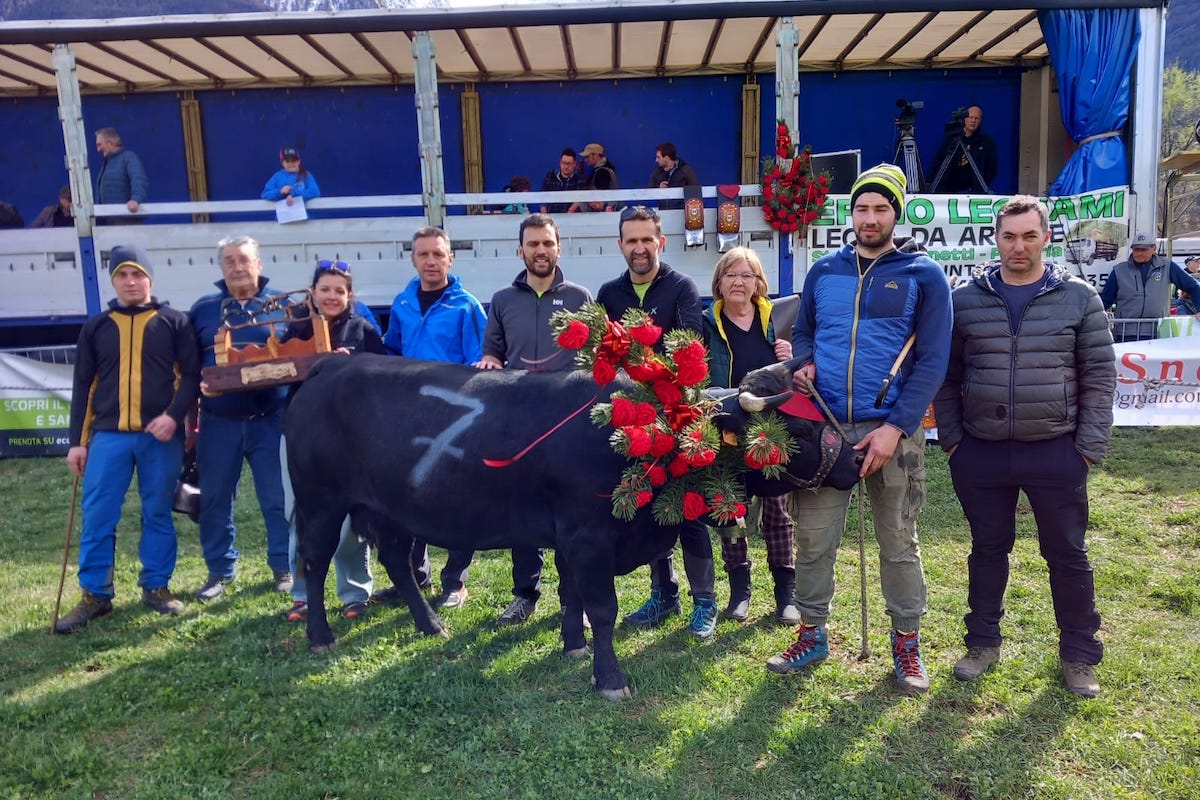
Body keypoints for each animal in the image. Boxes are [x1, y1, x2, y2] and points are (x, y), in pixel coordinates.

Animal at [285, 357, 859, 700]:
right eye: (795, 427)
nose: (855, 461)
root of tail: (334, 362)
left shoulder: (569, 536)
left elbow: (570, 595)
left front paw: (572, 645)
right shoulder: (587, 535)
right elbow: (601, 607)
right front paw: (608, 677)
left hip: (391, 508)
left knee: (398, 563)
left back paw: (431, 625)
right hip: (320, 500)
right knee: (313, 561)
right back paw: (319, 635)